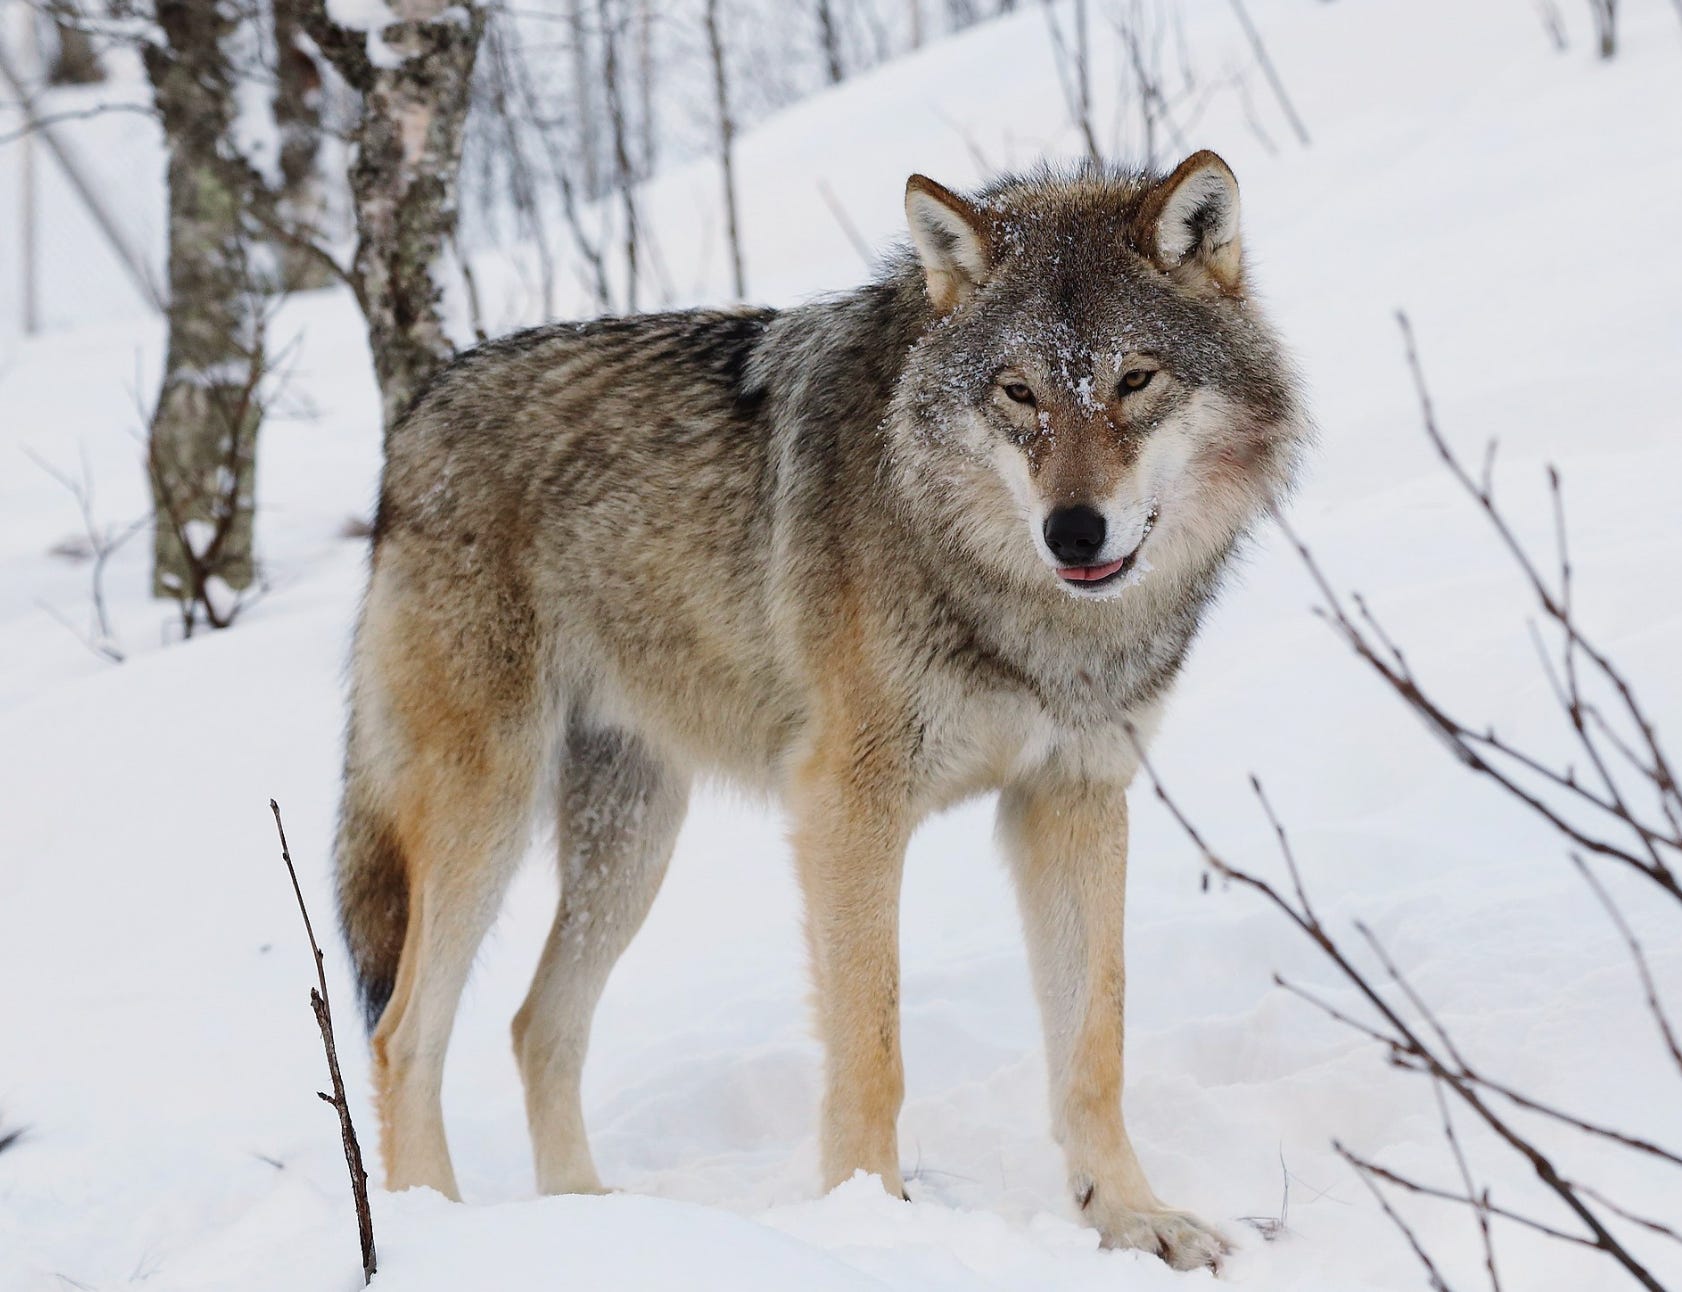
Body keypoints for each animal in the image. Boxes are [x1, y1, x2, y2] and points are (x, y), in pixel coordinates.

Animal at [335, 151, 1307, 1271]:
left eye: (1134, 380)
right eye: (1017, 393)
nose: (1072, 531)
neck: (1022, 608)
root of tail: (416, 412)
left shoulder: (1071, 798)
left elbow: (1092, 1043)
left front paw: (1131, 1217)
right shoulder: (848, 806)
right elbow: (872, 1046)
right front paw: (870, 1221)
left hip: (632, 841)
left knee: (537, 1024)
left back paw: (596, 1220)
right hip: (485, 817)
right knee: (403, 1033)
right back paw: (435, 1228)